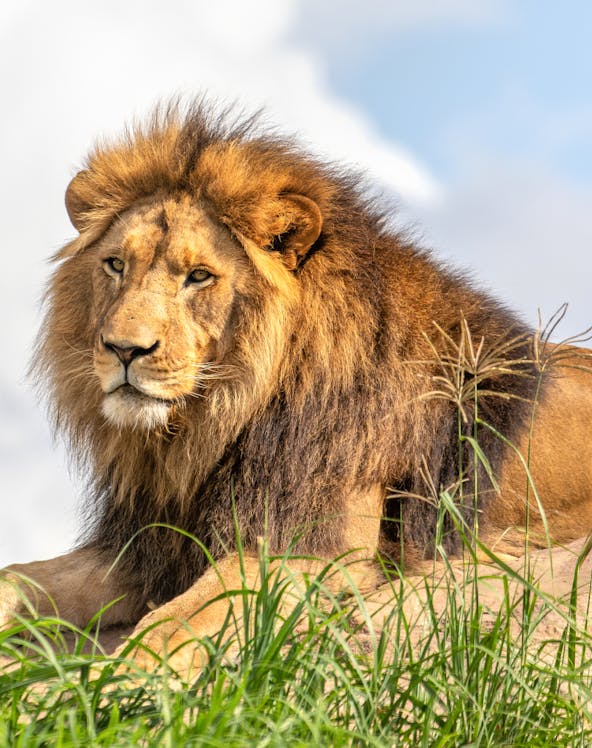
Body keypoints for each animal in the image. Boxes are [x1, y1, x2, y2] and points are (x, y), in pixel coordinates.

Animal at [1, 101, 592, 677]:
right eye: (115, 265)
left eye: (199, 276)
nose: (124, 349)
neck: (208, 429)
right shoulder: (148, 544)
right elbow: (18, 578)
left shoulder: (314, 548)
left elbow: (175, 625)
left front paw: (120, 687)